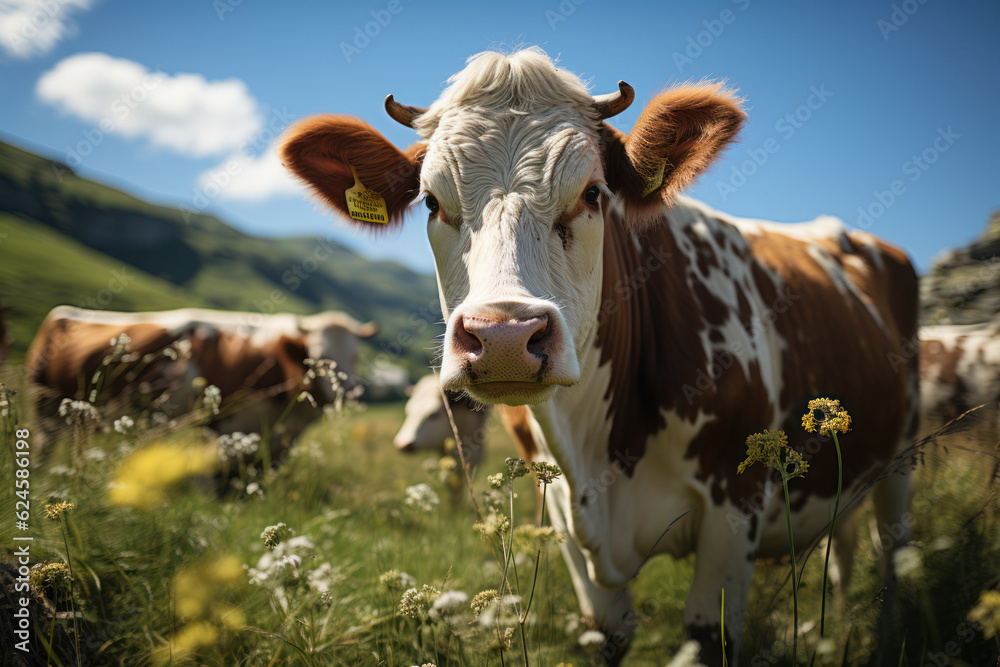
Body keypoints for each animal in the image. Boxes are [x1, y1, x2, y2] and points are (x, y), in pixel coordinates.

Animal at [29, 306, 378, 464]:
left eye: (356, 356)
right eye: (315, 358)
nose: (349, 394)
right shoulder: (225, 424)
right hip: (43, 405)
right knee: (43, 444)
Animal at [278, 49, 916, 664]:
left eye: (593, 193)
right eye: (432, 203)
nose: (505, 337)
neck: (599, 449)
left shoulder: (736, 506)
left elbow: (709, 637)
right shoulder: (562, 513)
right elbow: (607, 635)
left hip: (903, 454)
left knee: (895, 552)